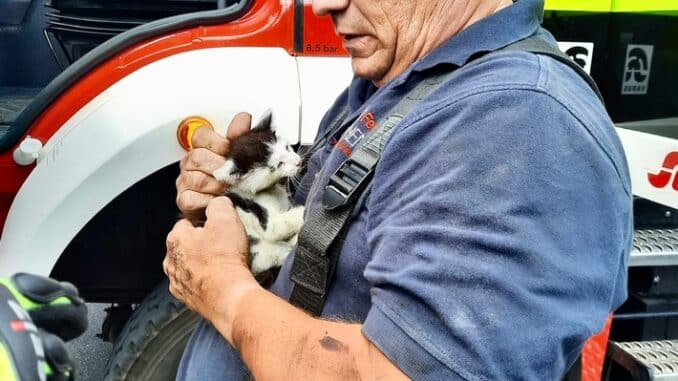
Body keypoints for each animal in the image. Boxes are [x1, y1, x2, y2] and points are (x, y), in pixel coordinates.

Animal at [183, 110, 306, 282]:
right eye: (278, 165)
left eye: (287, 148)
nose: (298, 162)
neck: (268, 189)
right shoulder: (265, 222)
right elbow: (279, 226)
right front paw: (307, 211)